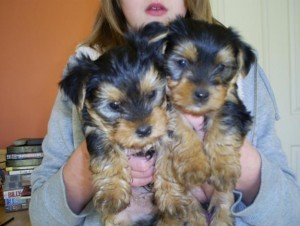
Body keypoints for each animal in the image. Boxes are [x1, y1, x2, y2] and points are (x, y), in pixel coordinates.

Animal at [164, 18, 253, 226]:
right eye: (182, 62)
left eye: (220, 67)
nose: (202, 94)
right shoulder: (166, 107)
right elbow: (181, 128)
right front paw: (194, 165)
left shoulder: (231, 104)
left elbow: (223, 128)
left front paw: (224, 168)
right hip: (189, 197)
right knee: (192, 210)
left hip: (223, 196)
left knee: (222, 204)